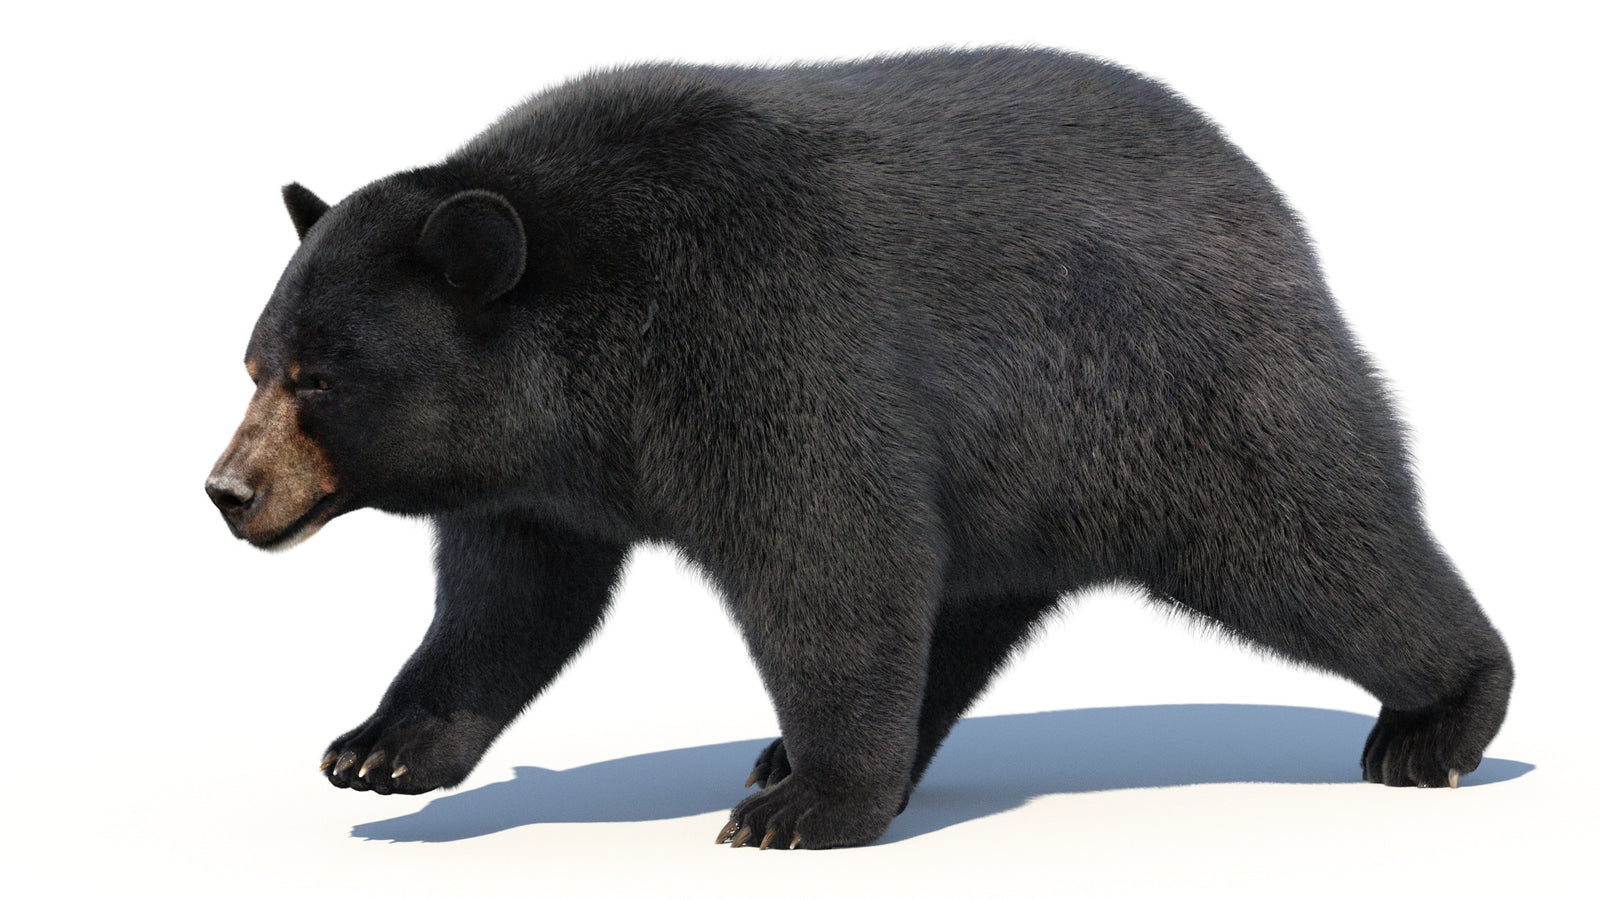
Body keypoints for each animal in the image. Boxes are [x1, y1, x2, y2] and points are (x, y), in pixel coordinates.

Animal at [206, 47, 1512, 850]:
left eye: (319, 378)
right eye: (256, 362)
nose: (228, 491)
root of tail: (1267, 202)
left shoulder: (759, 338)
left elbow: (829, 556)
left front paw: (808, 812)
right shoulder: (537, 473)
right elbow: (509, 600)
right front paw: (380, 748)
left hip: (1174, 402)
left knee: (1317, 549)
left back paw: (1440, 720)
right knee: (965, 612)